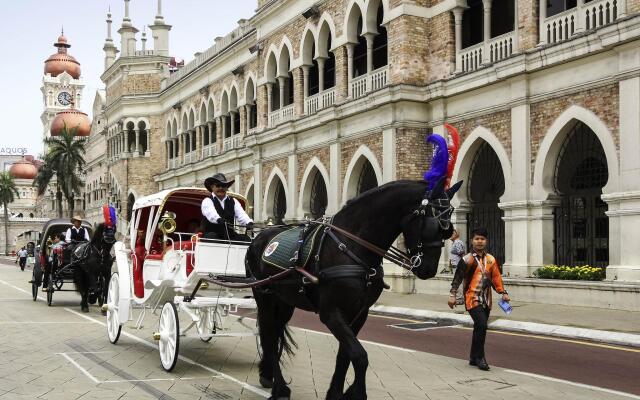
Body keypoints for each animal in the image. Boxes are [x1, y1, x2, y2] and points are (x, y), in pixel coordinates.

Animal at [245, 179, 460, 400]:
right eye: (433, 224)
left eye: (448, 229)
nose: (429, 269)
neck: (352, 246)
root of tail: (259, 237)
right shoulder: (330, 313)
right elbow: (359, 355)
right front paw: (356, 393)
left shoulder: (359, 312)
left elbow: (345, 355)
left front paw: (335, 393)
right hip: (264, 297)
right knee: (270, 337)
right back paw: (279, 388)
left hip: (285, 301)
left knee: (276, 331)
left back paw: (267, 375)